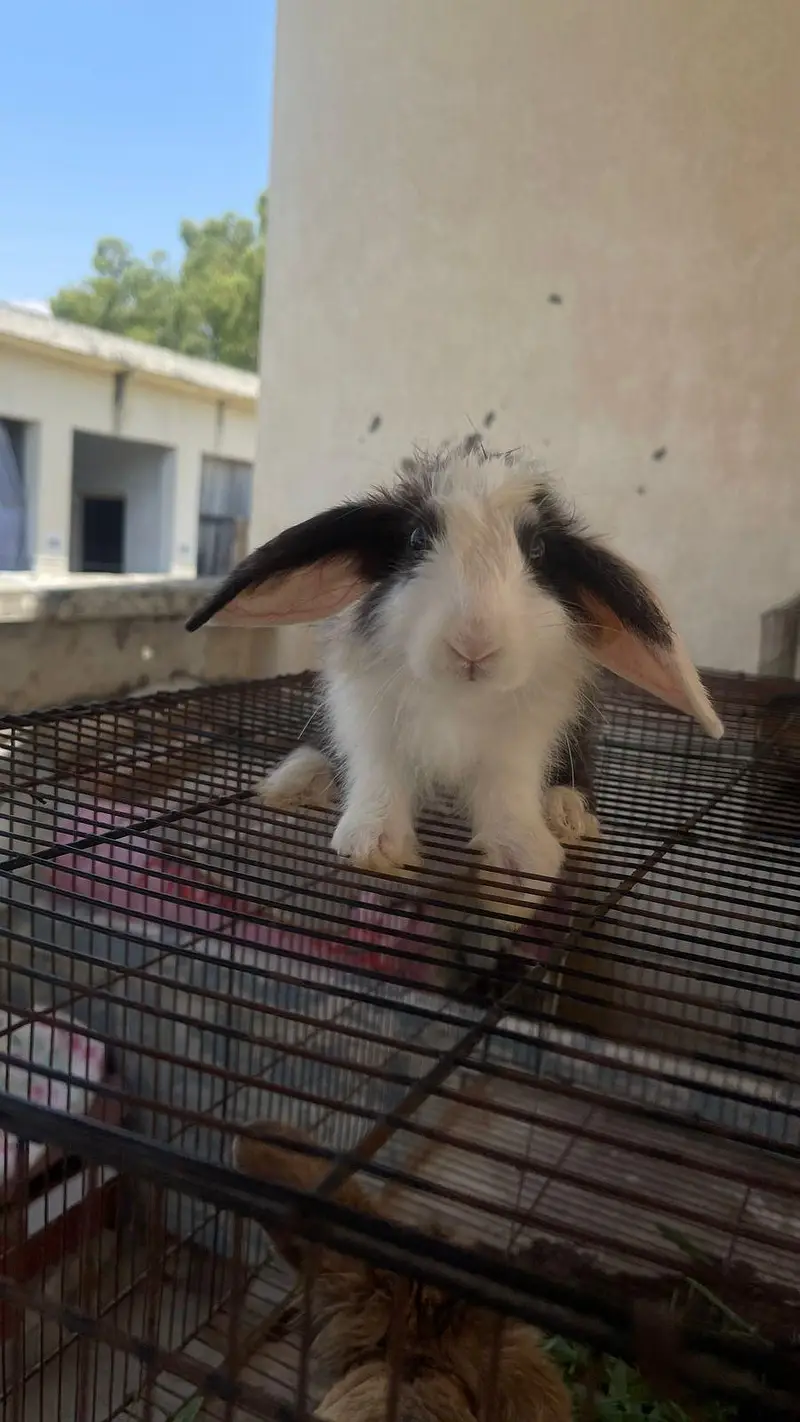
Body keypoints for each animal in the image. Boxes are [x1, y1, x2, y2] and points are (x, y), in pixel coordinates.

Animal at [187, 437, 722, 906]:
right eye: (416, 539)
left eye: (538, 551)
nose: (474, 644)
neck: (458, 696)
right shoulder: (368, 720)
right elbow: (380, 775)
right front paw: (376, 848)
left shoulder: (523, 741)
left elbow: (508, 792)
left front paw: (522, 860)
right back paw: (295, 783)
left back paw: (566, 814)